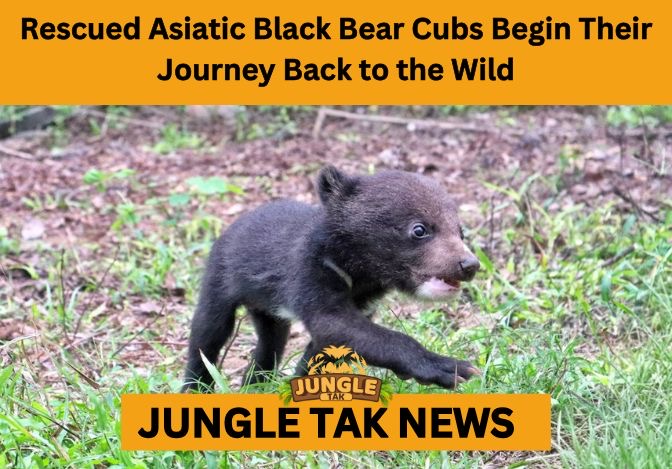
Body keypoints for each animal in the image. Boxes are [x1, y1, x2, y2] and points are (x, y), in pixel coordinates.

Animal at [183, 165, 481, 391]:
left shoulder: (365, 298)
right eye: (420, 229)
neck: (358, 272)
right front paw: (451, 367)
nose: (469, 264)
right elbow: (334, 324)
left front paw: (301, 380)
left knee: (272, 340)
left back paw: (254, 381)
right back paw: (197, 386)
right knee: (208, 332)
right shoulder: (310, 272)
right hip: (221, 276)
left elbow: (328, 342)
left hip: (267, 307)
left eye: (460, 231)